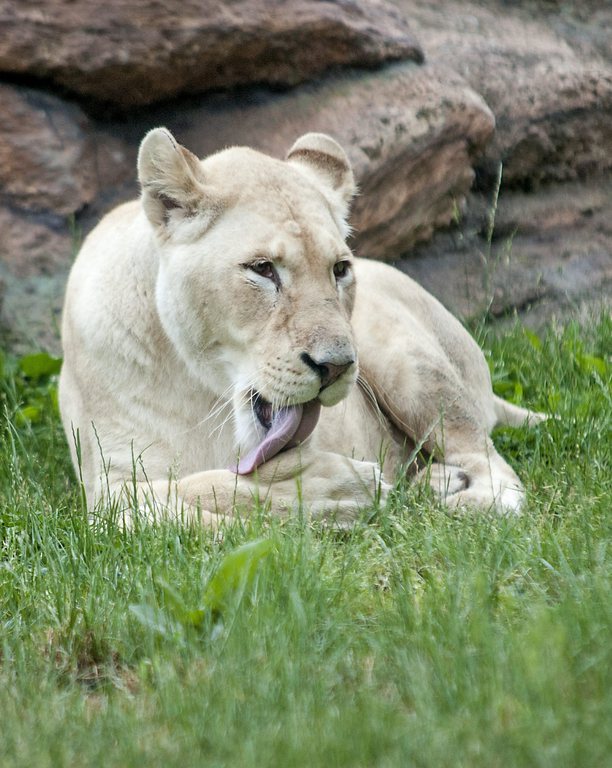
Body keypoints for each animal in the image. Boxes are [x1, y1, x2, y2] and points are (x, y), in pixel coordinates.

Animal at [58, 129, 544, 524]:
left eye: (339, 269)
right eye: (262, 269)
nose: (337, 365)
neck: (204, 391)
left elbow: (216, 489)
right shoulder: (109, 489)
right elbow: (174, 501)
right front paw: (335, 490)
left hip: (403, 359)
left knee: (491, 460)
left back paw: (471, 497)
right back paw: (431, 482)